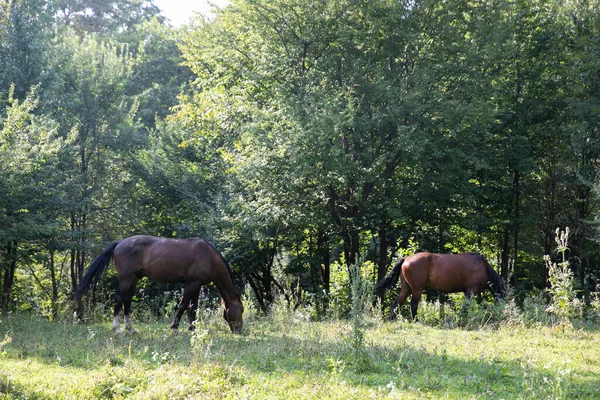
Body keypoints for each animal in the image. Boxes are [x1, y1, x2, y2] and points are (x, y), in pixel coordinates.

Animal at [74, 236, 243, 332]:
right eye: (240, 310)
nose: (240, 330)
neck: (208, 257)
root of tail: (120, 242)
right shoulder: (191, 284)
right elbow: (183, 306)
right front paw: (174, 328)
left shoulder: (197, 285)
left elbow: (193, 308)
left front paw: (192, 328)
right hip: (126, 279)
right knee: (118, 300)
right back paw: (117, 329)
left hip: (134, 279)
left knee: (127, 301)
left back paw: (130, 329)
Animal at [376, 253, 506, 322]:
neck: (483, 268)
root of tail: (406, 258)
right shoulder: (471, 291)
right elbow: (465, 307)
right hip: (417, 289)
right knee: (413, 304)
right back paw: (416, 320)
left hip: (406, 289)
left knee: (396, 303)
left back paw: (392, 319)